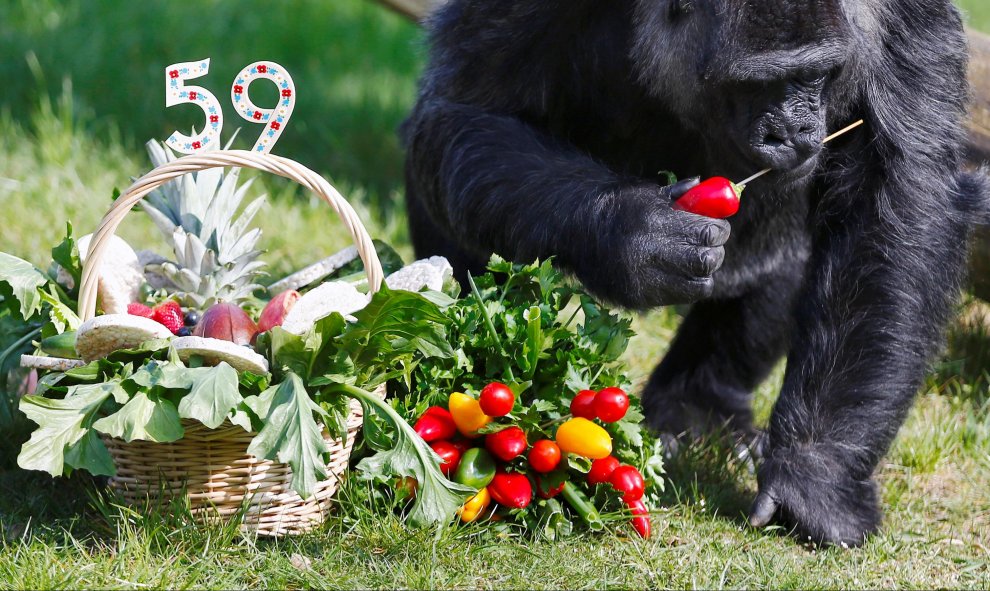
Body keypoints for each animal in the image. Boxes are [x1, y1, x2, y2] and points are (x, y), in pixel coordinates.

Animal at [402, 0, 990, 544]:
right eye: (762, 82)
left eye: (816, 74)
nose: (796, 133)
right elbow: (466, 113)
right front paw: (633, 234)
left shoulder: (907, 16)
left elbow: (889, 201)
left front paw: (815, 477)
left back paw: (702, 405)